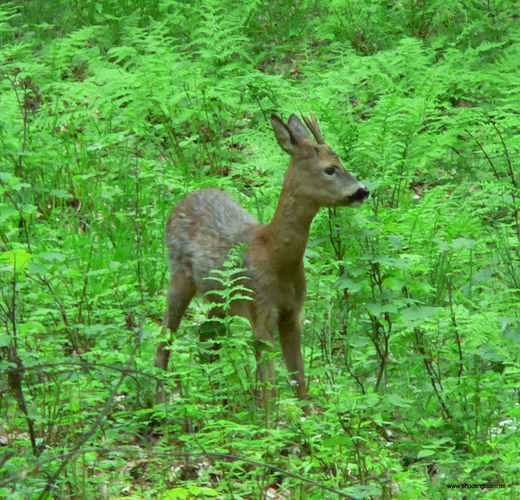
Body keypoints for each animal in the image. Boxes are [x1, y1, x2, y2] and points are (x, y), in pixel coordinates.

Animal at [155, 112, 370, 406]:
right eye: (330, 169)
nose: (363, 190)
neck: (275, 257)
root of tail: (185, 199)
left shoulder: (292, 314)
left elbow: (300, 384)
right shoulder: (261, 312)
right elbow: (271, 391)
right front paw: (267, 418)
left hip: (219, 298)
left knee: (207, 336)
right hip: (179, 275)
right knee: (164, 336)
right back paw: (159, 400)